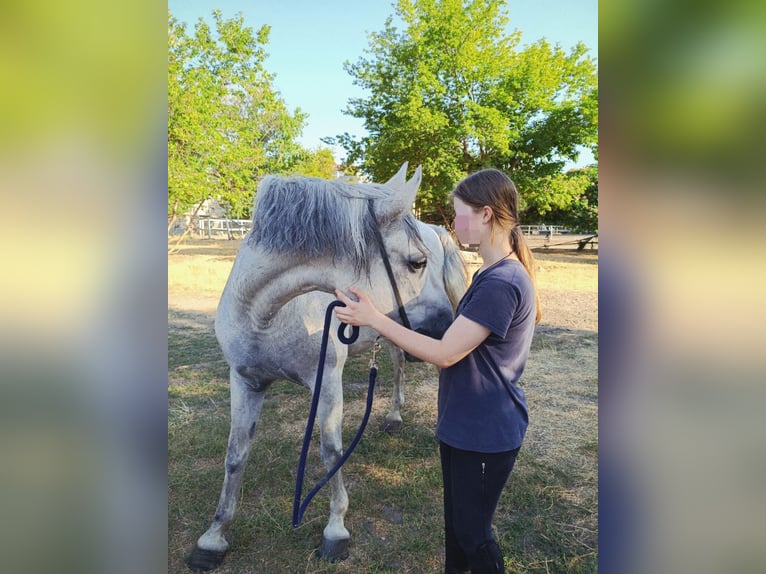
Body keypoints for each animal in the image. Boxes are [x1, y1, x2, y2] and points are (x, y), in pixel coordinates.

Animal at [187, 164, 467, 571]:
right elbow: (235, 456)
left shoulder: (328, 381)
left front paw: (336, 531)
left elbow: (331, 451)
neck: (265, 315)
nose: (445, 329)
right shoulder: (244, 381)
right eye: (417, 262)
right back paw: (394, 415)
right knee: (399, 362)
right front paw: (214, 536)